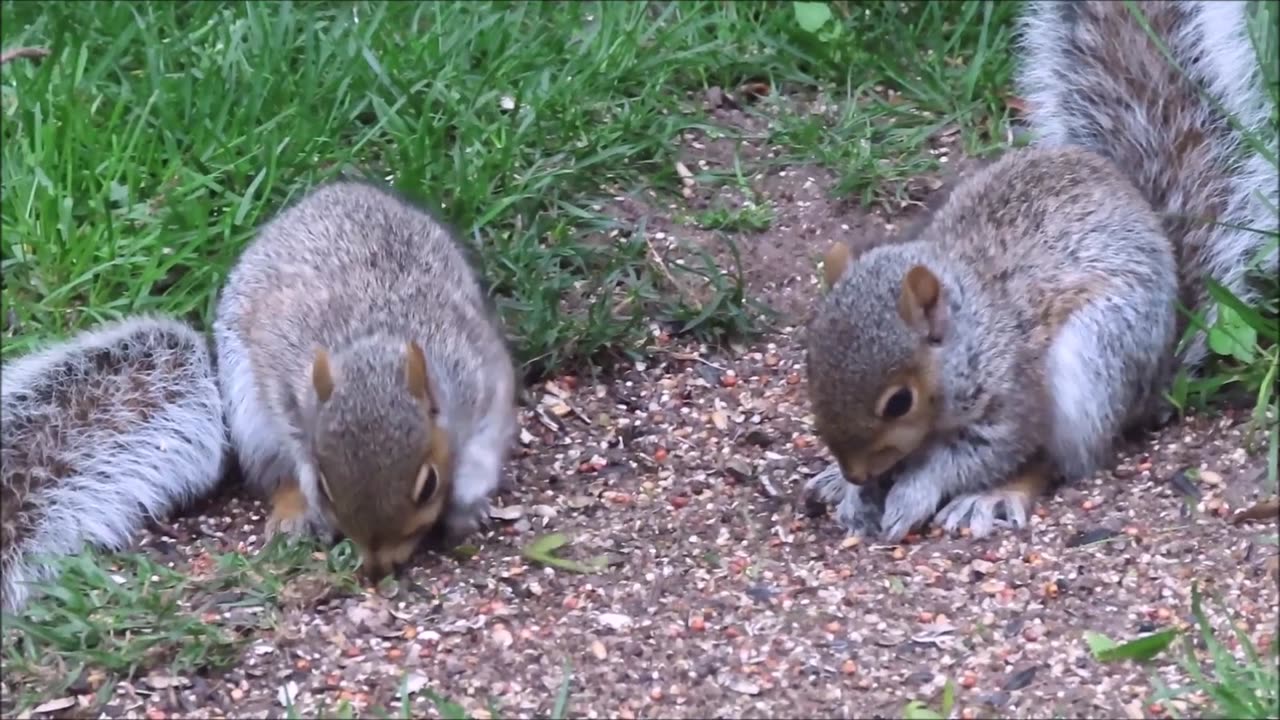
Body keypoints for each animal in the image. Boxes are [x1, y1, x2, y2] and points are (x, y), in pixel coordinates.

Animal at [803, 0, 1274, 538]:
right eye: (810, 369)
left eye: (899, 401)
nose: (856, 472)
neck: (971, 328)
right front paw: (855, 493)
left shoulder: (1010, 396)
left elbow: (978, 455)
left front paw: (910, 493)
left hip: (1094, 361)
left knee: (1060, 461)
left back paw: (993, 496)